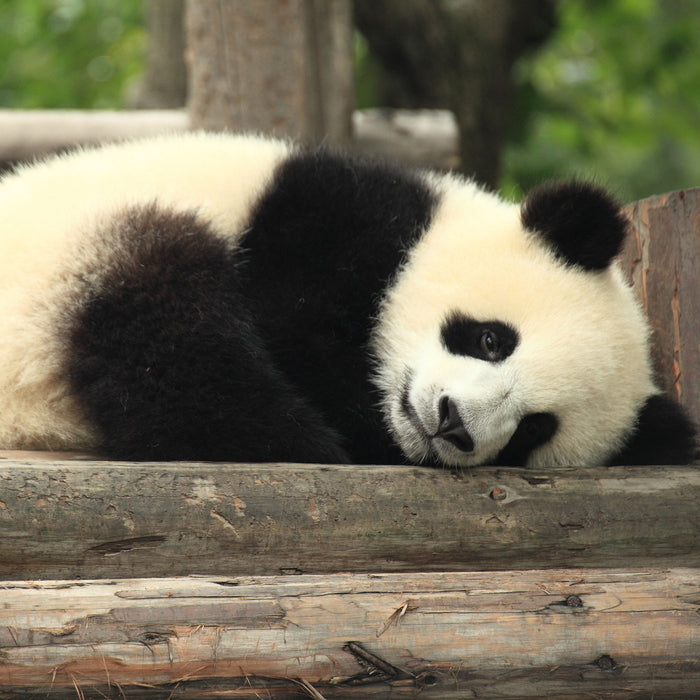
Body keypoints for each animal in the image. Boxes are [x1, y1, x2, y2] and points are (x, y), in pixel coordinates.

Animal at [0, 133, 696, 468]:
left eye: (534, 429)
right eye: (491, 339)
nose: (452, 424)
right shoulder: (323, 224)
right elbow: (293, 333)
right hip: (71, 259)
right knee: (165, 319)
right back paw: (293, 437)